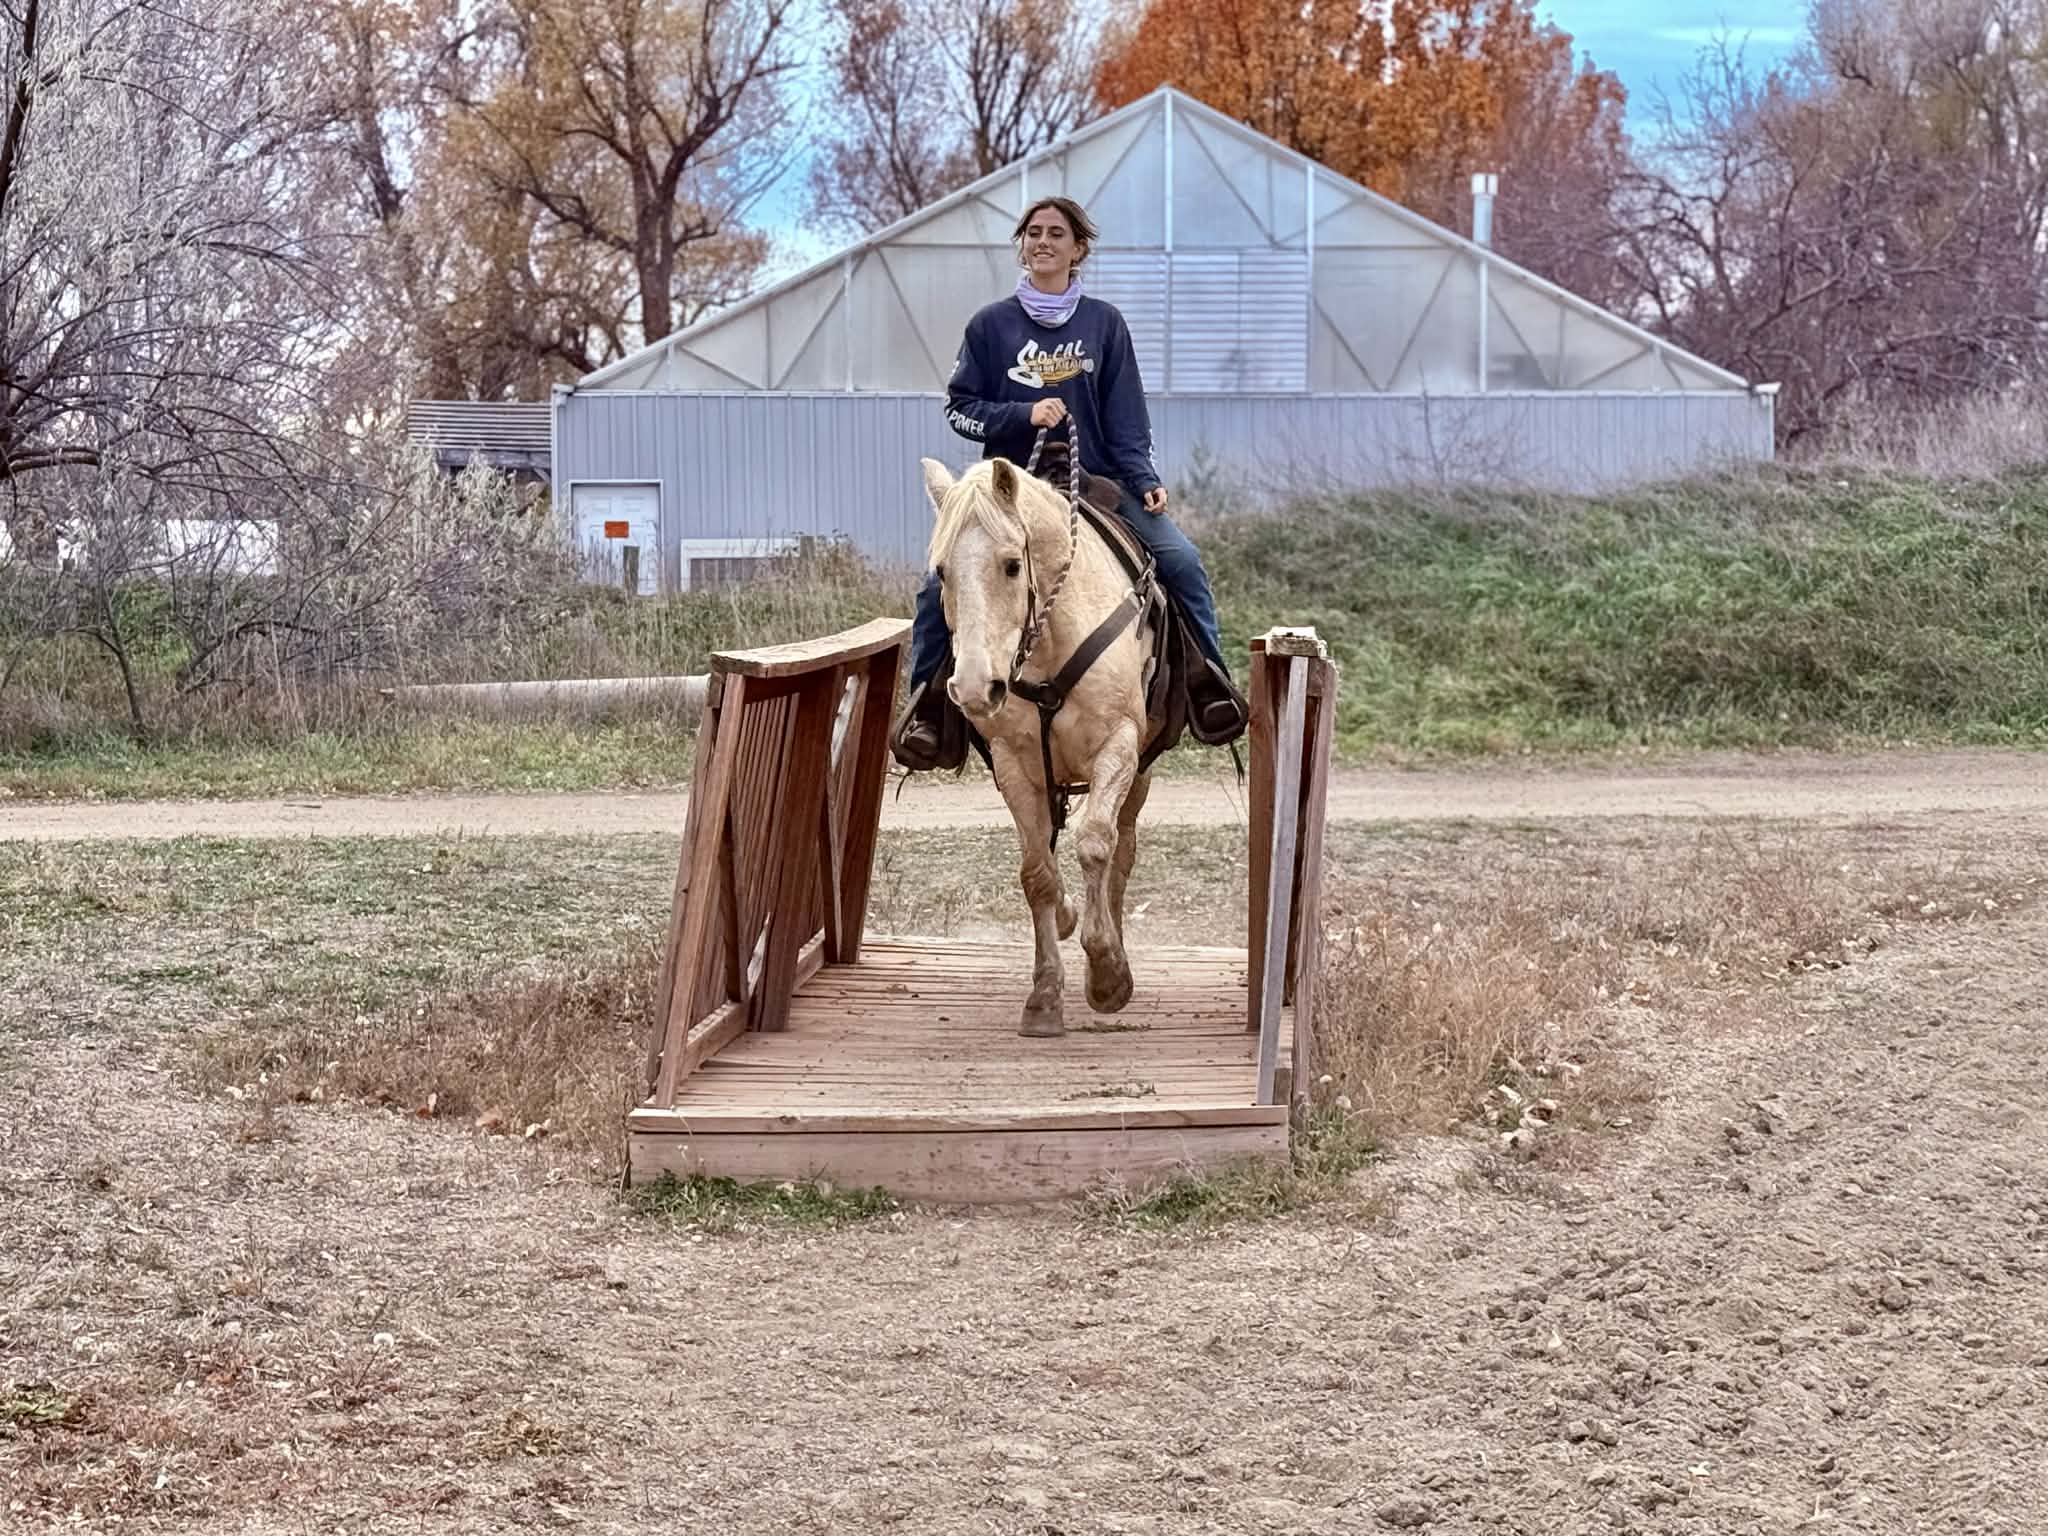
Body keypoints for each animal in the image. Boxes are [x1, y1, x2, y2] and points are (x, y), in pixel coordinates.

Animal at [918, 452, 1161, 1038]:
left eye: (1012, 564)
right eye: (942, 572)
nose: (975, 689)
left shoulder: (1119, 746)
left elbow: (1096, 845)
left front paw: (1107, 973)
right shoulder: (1014, 764)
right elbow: (1037, 874)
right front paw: (1046, 994)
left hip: (1139, 773)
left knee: (1120, 850)